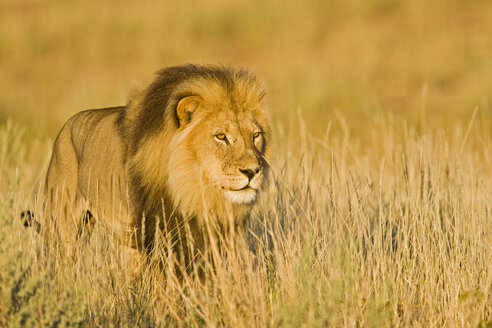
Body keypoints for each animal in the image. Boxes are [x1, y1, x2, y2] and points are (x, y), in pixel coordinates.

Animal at [40, 64, 272, 266]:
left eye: (255, 135)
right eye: (221, 136)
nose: (252, 171)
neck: (189, 188)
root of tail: (68, 123)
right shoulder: (149, 231)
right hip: (63, 224)